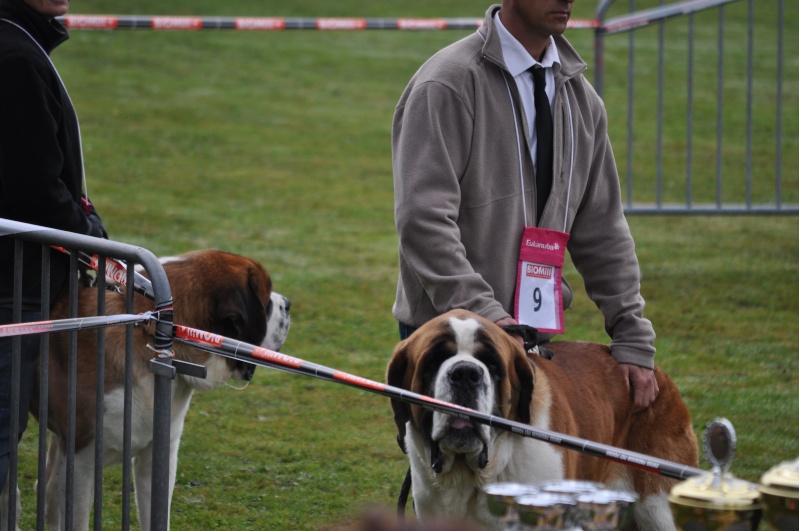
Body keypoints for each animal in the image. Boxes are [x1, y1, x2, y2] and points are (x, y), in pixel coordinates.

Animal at [34, 250, 292, 531]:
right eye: (266, 302)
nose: (288, 304)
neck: (149, 330)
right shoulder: (81, 459)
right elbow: (77, 517)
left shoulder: (156, 457)